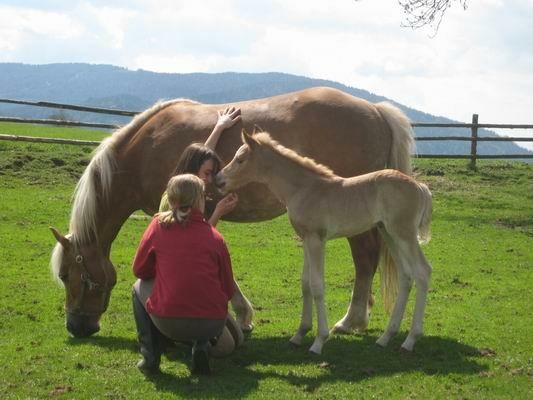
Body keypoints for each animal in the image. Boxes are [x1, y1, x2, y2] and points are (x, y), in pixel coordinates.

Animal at [48, 86, 416, 338]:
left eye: (66, 275)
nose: (76, 327)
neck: (146, 147)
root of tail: (376, 110)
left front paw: (242, 314)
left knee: (365, 257)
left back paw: (351, 320)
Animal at [214, 130, 430, 354]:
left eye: (240, 159)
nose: (218, 180)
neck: (305, 189)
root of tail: (420, 186)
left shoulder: (316, 239)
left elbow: (317, 285)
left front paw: (319, 341)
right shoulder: (306, 239)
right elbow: (305, 283)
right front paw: (299, 334)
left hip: (404, 234)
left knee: (422, 272)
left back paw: (410, 340)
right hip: (389, 234)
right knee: (406, 275)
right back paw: (386, 337)